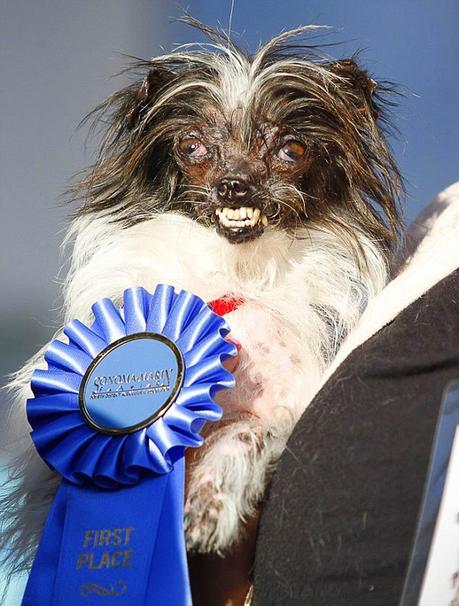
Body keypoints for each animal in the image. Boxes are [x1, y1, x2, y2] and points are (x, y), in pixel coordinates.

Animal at [0, 20, 402, 600]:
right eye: (193, 146)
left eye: (291, 148)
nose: (234, 184)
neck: (232, 275)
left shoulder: (283, 410)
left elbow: (245, 433)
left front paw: (210, 502)